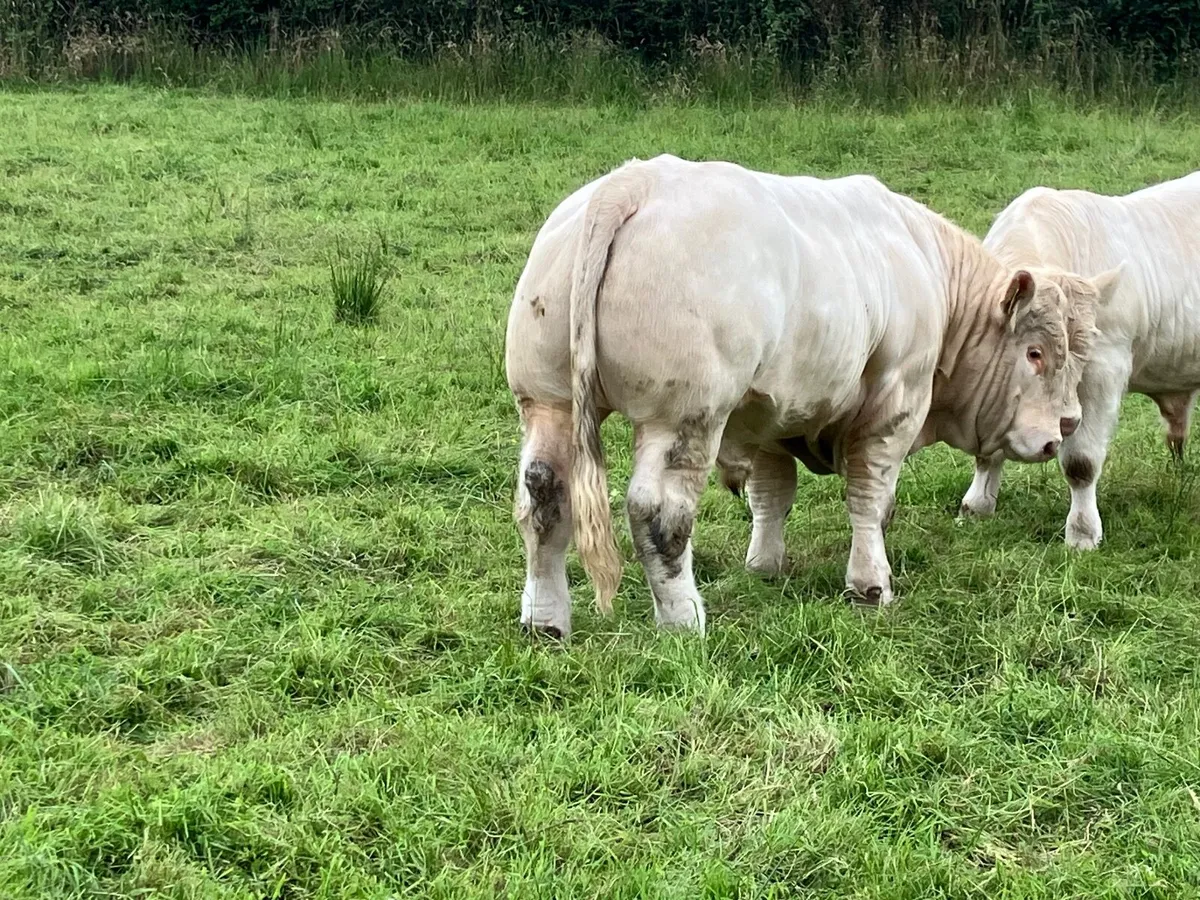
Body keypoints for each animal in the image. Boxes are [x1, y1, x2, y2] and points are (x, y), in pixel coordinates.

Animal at [506, 154, 1118, 638]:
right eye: (1036, 353)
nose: (1066, 425)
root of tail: (633, 181)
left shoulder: (769, 417)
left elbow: (771, 496)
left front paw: (765, 566)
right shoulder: (893, 406)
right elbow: (870, 497)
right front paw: (871, 585)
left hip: (548, 402)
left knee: (544, 497)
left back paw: (545, 622)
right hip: (682, 416)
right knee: (657, 515)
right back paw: (683, 620)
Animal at [959, 172, 1200, 549]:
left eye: (1083, 351)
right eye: (1035, 352)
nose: (1066, 421)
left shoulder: (1104, 369)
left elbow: (1081, 462)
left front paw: (1083, 534)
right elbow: (987, 449)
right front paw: (978, 505)